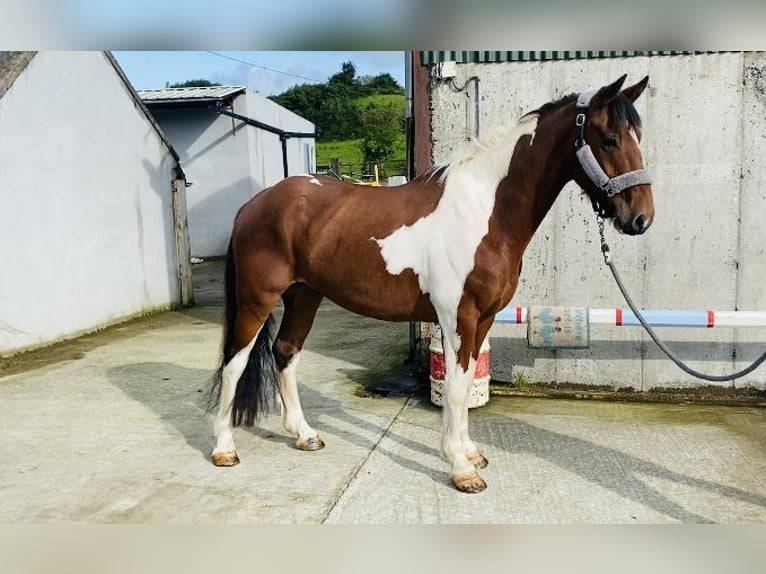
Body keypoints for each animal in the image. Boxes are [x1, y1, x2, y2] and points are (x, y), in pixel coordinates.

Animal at [208, 73, 656, 496]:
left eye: (638, 136)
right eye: (610, 139)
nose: (641, 218)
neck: (485, 211)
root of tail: (254, 204)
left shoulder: (484, 319)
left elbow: (469, 378)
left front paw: (470, 453)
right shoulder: (459, 317)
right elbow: (456, 389)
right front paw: (460, 468)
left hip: (305, 296)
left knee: (285, 352)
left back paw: (304, 435)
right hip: (257, 300)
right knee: (235, 362)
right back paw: (224, 447)